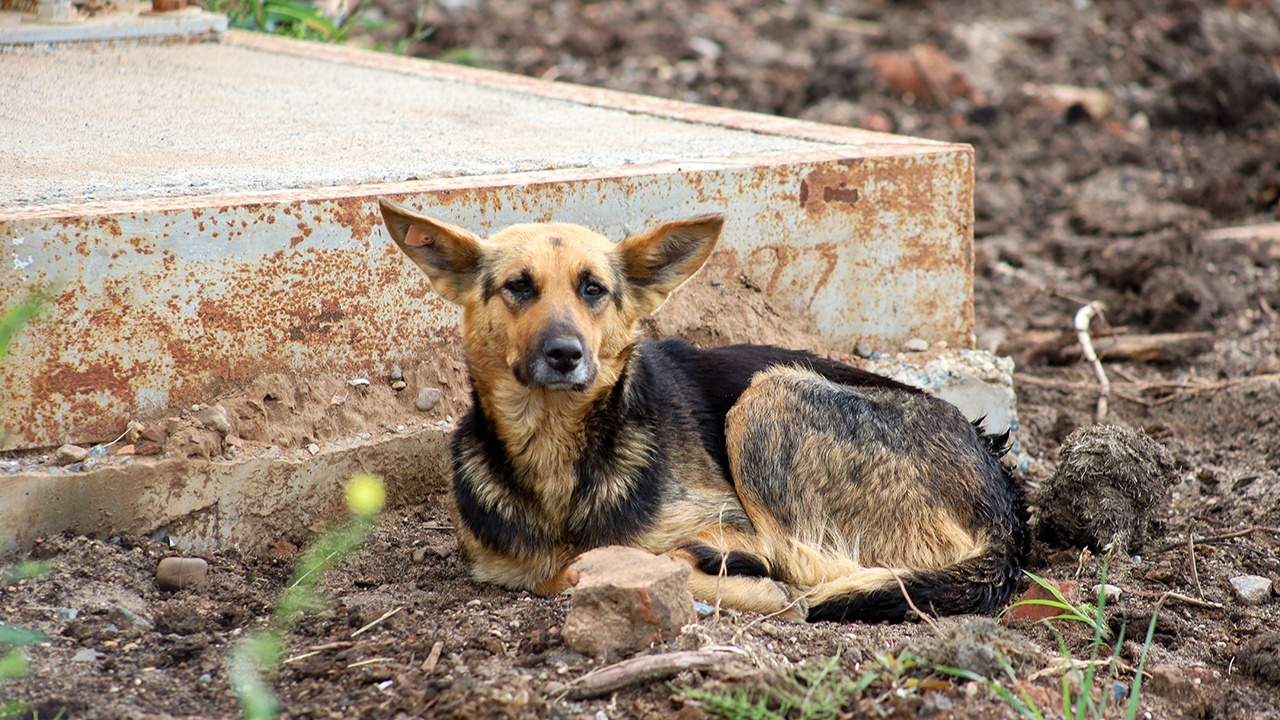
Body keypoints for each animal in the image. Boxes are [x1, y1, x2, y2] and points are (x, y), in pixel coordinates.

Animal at [376, 197, 1029, 622]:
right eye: (518, 286)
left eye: (593, 289)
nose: (565, 354)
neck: (557, 450)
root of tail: (1006, 502)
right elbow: (566, 569)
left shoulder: (727, 520)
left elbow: (587, 565)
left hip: (768, 397)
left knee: (810, 573)